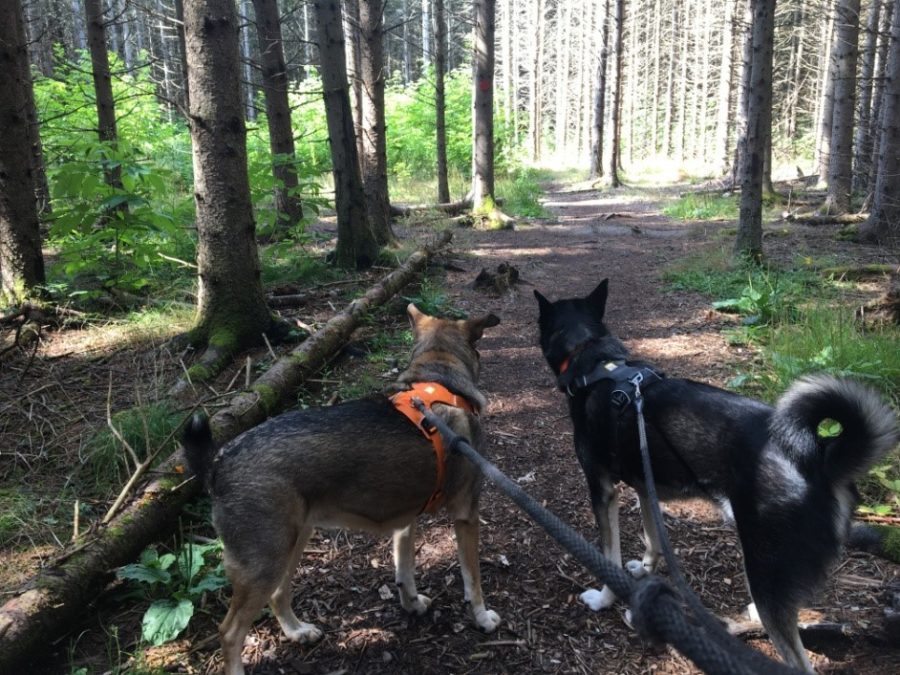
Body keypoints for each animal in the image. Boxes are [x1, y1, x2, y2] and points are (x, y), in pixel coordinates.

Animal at [181, 306, 506, 675]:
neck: (437, 376)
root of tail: (218, 463)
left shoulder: (405, 520)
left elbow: (404, 570)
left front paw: (411, 603)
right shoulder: (466, 515)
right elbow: (472, 580)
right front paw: (482, 618)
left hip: (293, 543)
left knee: (278, 596)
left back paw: (297, 631)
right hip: (266, 561)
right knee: (230, 631)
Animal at [536, 278, 900, 672]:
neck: (595, 361)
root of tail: (820, 456)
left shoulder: (602, 490)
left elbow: (608, 554)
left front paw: (603, 599)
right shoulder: (645, 487)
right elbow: (652, 538)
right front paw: (644, 570)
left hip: (764, 569)